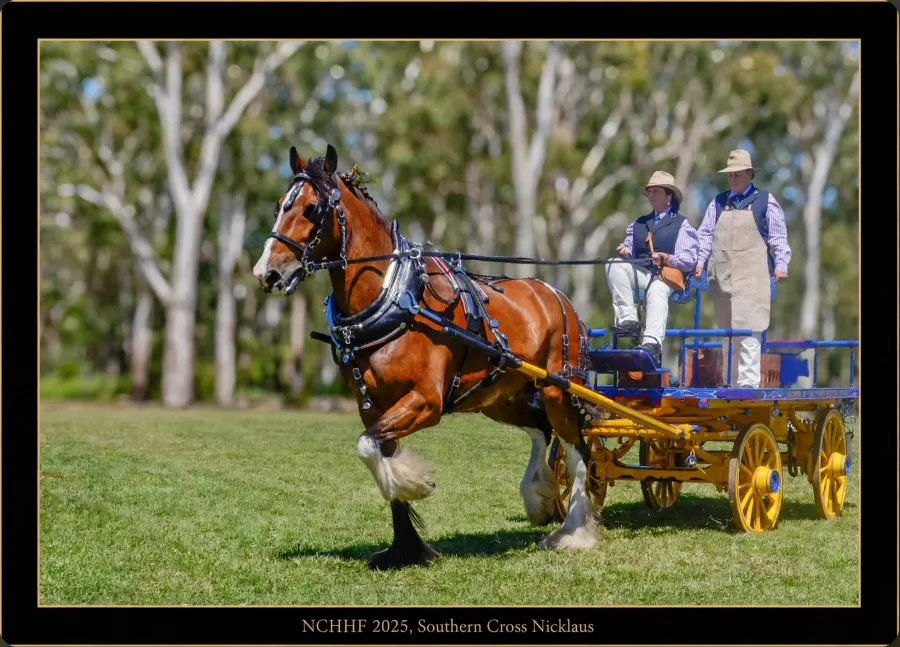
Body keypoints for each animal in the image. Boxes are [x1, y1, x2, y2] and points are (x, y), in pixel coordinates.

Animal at [252, 143, 604, 570]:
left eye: (310, 209)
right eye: (278, 206)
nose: (266, 273)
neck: (397, 298)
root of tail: (559, 297)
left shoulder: (426, 401)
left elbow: (368, 448)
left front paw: (416, 484)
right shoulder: (372, 406)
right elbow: (377, 454)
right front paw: (405, 547)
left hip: (558, 389)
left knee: (577, 450)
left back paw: (573, 532)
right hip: (500, 396)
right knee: (541, 429)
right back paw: (537, 497)